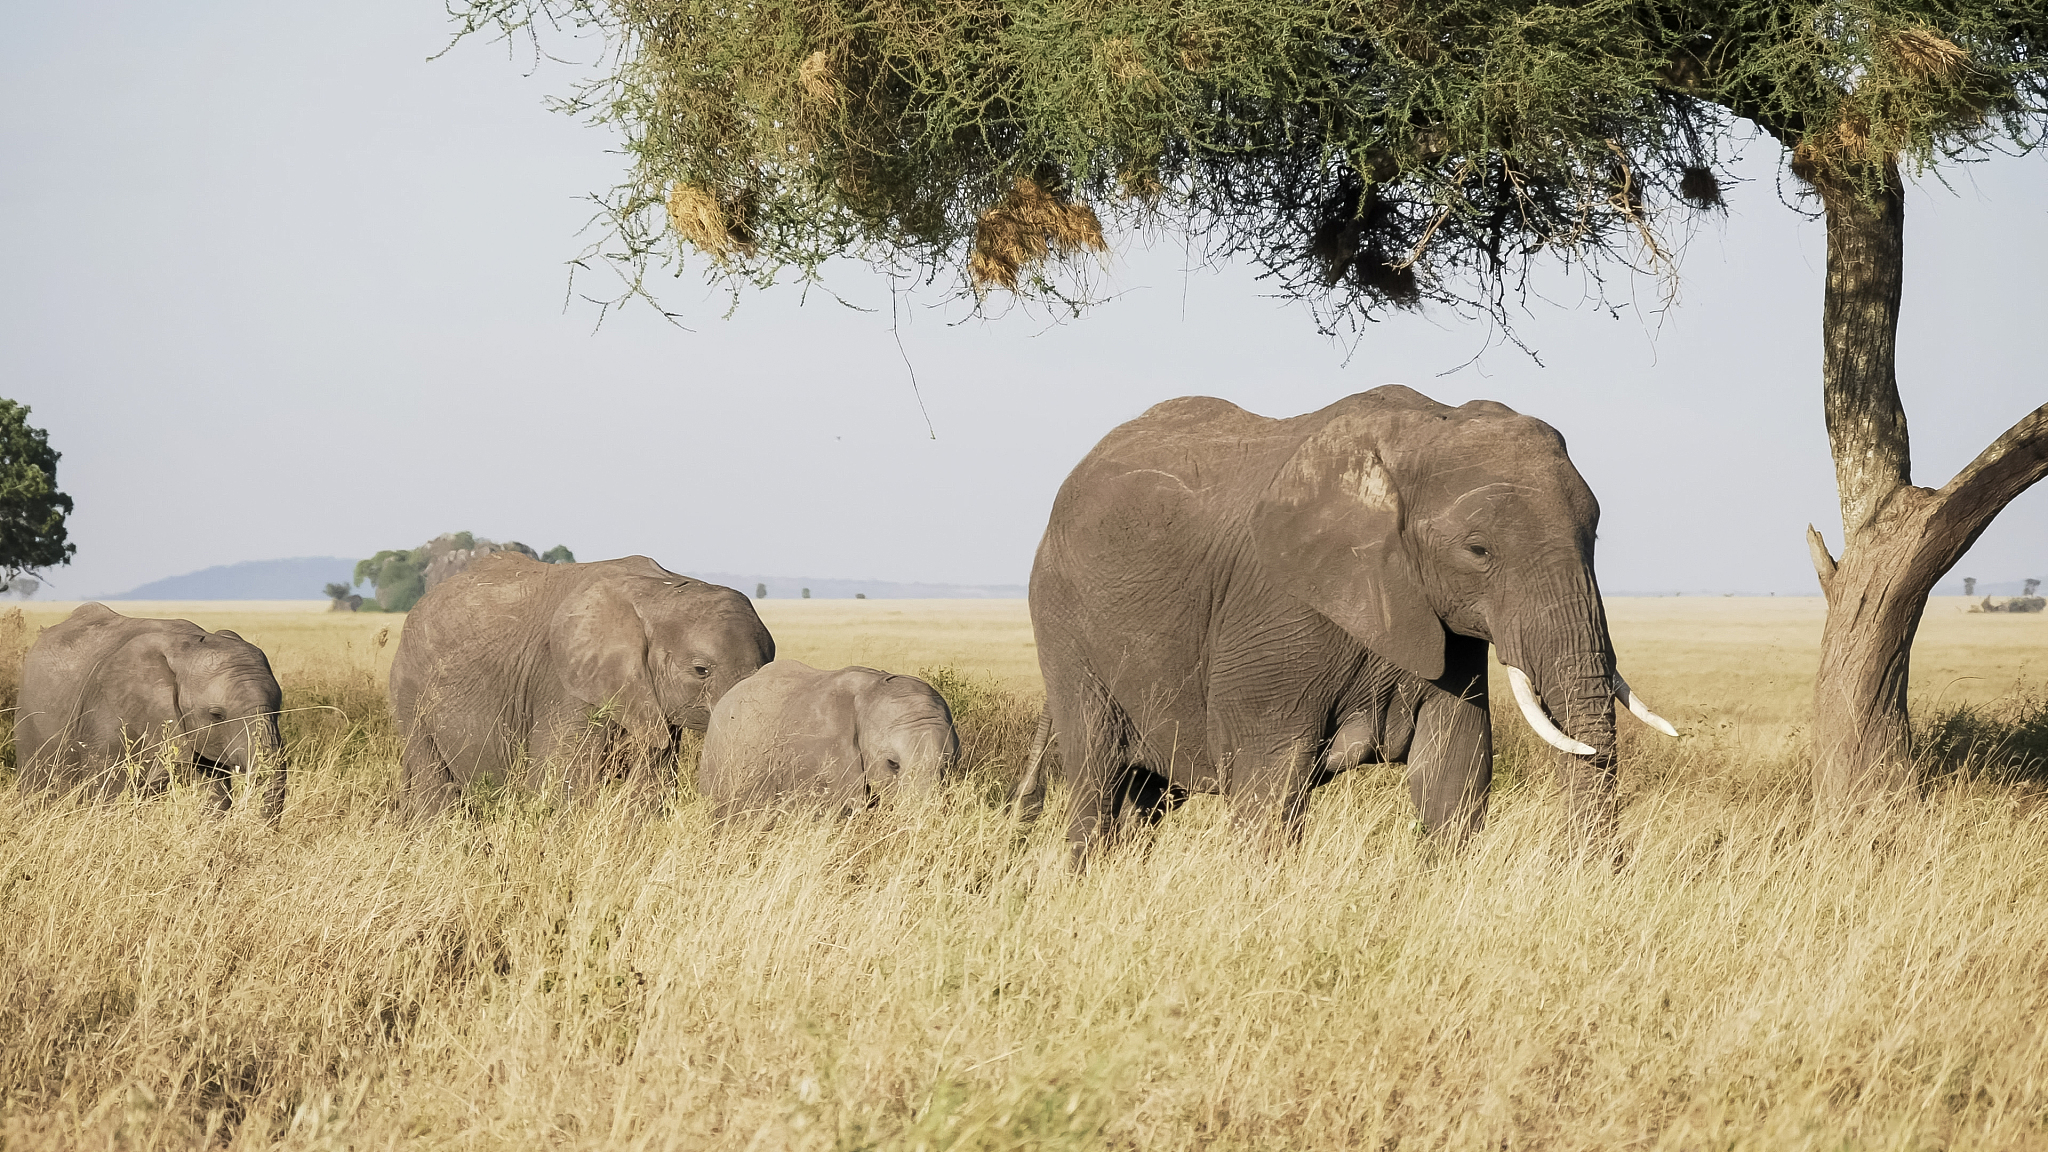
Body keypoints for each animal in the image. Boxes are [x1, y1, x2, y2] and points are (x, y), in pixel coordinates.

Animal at [14, 604, 286, 819]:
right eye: (216, 714)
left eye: (279, 711)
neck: (187, 648)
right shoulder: (108, 713)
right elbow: (107, 794)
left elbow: (216, 796)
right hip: (30, 720)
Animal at [389, 553, 774, 818]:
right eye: (700, 670)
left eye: (767, 666)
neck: (661, 592)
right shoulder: (565, 684)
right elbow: (561, 787)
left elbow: (651, 786)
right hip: (410, 696)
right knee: (434, 789)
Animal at [1013, 385, 1677, 867]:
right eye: (1478, 551)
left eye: (1594, 535)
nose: (1595, 874)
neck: (1421, 432)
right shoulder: (1275, 612)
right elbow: (1270, 781)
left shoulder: (1440, 621)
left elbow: (1454, 768)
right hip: (1063, 621)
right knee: (1097, 776)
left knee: (1143, 799)